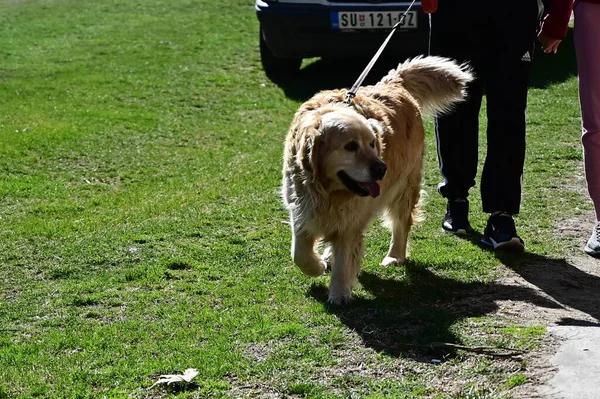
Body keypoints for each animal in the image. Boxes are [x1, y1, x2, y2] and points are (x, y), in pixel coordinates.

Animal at [282, 56, 474, 304]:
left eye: (373, 143)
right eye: (350, 146)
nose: (382, 169)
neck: (329, 191)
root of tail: (394, 82)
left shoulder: (351, 219)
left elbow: (345, 257)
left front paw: (339, 292)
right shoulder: (302, 210)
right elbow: (300, 255)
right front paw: (318, 266)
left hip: (404, 188)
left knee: (401, 224)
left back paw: (394, 256)